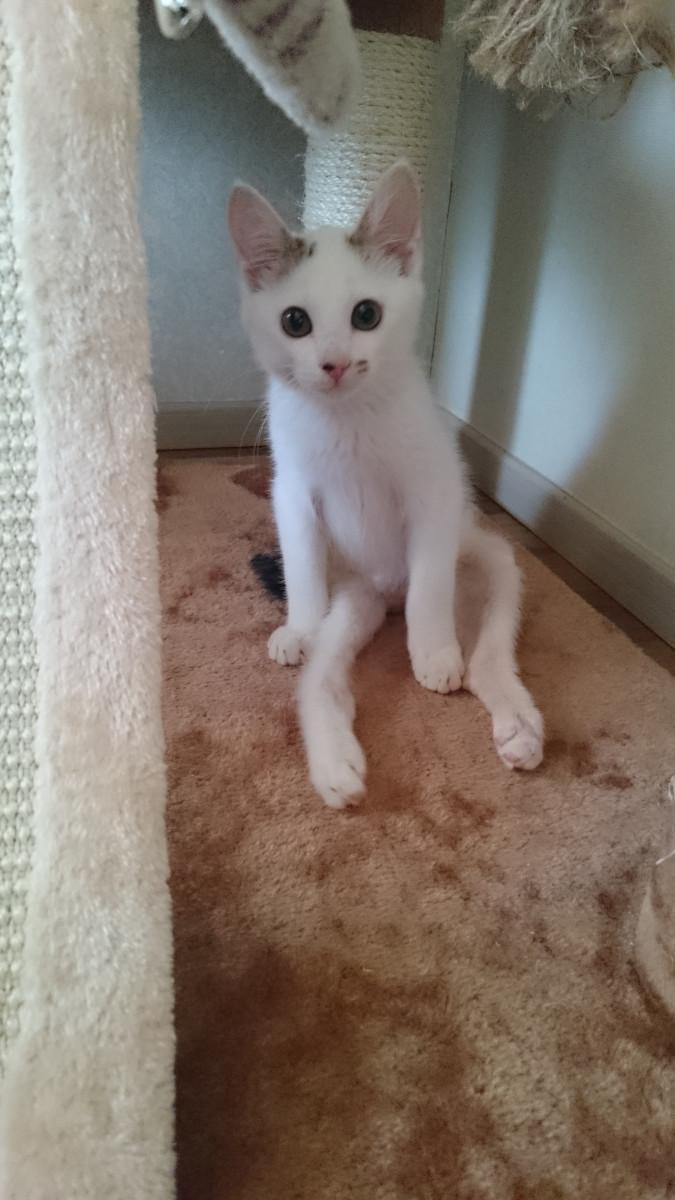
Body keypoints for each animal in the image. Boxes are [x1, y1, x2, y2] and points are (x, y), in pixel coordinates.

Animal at [228, 162, 544, 808]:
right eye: (295, 321)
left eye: (366, 315)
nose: (334, 363)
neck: (347, 419)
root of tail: (384, 591)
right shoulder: (291, 491)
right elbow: (301, 564)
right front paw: (298, 627)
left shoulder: (436, 489)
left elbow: (431, 586)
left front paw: (433, 653)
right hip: (351, 597)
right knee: (321, 680)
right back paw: (336, 765)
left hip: (489, 556)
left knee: (488, 652)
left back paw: (516, 725)